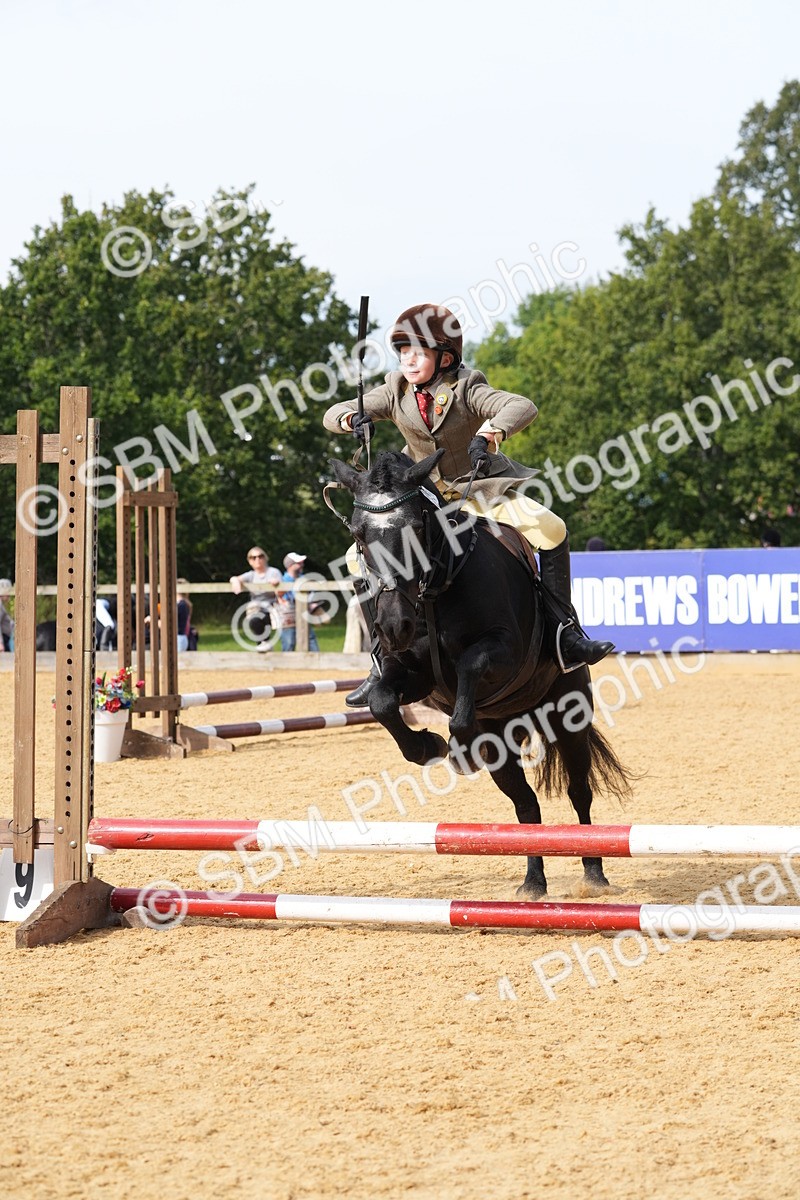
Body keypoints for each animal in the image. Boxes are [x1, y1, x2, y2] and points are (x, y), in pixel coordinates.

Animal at [328, 448, 631, 899]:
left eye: (417, 527)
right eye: (360, 535)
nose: (393, 626)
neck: (436, 588)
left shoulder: (504, 651)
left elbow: (469, 670)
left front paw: (456, 745)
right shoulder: (410, 673)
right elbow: (382, 701)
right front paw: (428, 746)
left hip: (568, 715)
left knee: (579, 791)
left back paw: (593, 875)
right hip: (502, 742)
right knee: (525, 805)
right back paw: (533, 883)